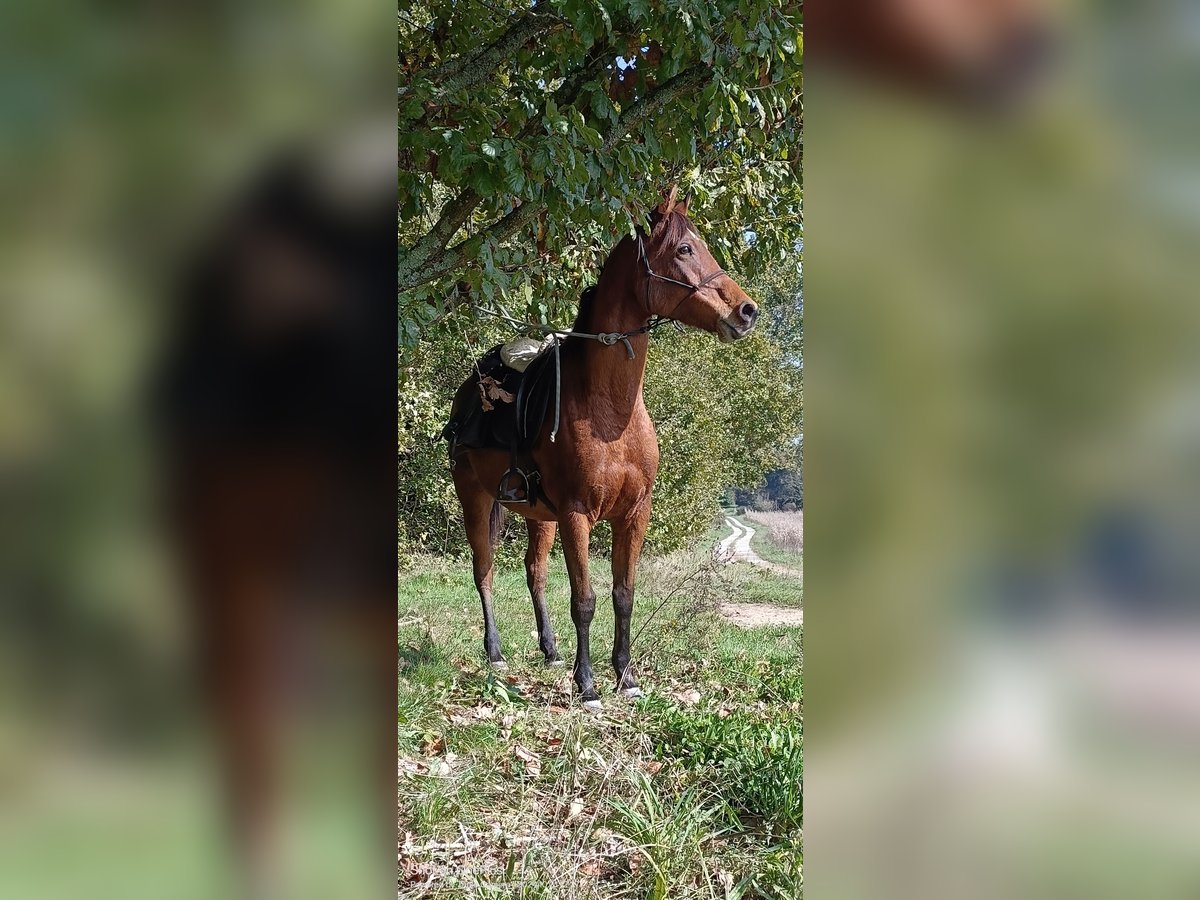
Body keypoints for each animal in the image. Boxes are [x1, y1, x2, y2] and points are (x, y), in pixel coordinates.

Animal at [451, 190, 758, 710]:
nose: (746, 311)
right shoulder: (577, 514)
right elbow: (585, 600)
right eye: (684, 250)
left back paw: (550, 650)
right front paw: (588, 684)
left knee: (534, 572)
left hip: (538, 515)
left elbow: (623, 594)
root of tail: (469, 389)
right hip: (476, 499)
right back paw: (494, 653)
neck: (610, 412)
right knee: (484, 570)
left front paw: (626, 676)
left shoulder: (633, 513)